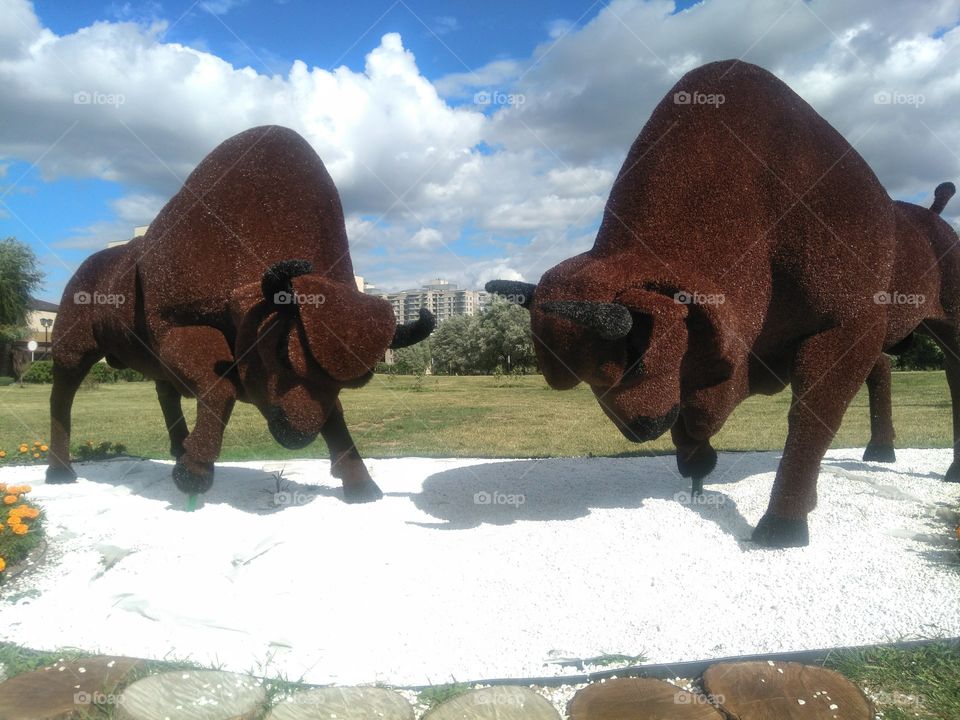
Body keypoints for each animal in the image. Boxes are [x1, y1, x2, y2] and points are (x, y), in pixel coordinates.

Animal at [46, 125, 434, 503]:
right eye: (281, 353)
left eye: (362, 378)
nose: (298, 433)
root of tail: (87, 268)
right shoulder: (180, 329)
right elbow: (222, 390)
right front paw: (194, 474)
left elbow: (335, 416)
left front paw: (362, 486)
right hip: (71, 350)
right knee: (60, 399)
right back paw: (59, 473)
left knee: (164, 393)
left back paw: (176, 449)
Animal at [486, 59, 948, 547]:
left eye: (636, 354)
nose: (638, 428)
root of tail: (932, 220)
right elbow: (699, 409)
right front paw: (697, 468)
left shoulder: (846, 327)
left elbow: (809, 418)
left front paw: (782, 526)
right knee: (883, 370)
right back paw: (881, 451)